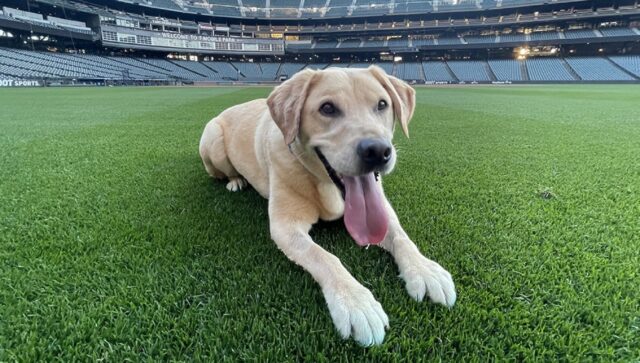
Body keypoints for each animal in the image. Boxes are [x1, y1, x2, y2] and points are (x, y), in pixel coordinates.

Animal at [200, 65, 456, 346]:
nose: (378, 151)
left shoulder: (383, 208)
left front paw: (424, 270)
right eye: (328, 108)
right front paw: (355, 303)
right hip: (212, 141)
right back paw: (236, 180)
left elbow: (401, 237)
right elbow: (324, 257)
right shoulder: (284, 226)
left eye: (382, 104)